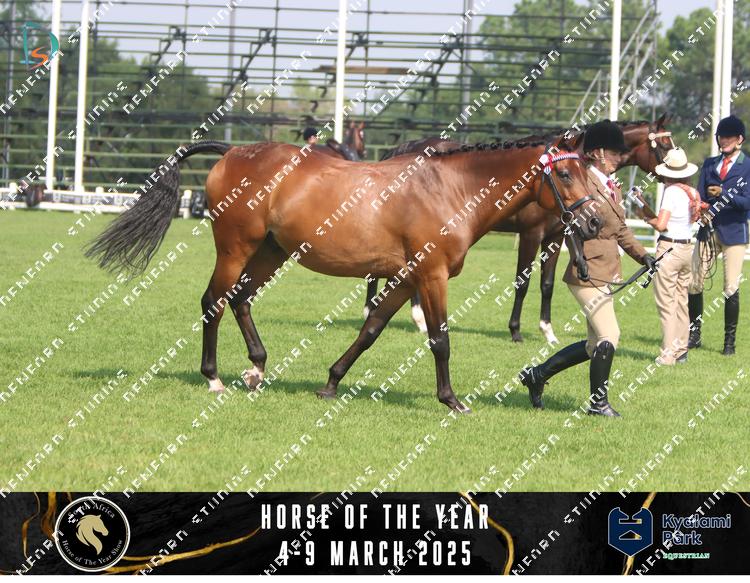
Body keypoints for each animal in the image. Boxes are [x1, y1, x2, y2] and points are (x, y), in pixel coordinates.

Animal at [85, 133, 601, 413]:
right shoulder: (430, 275)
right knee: (214, 301)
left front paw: (331, 383)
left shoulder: (405, 278)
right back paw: (213, 377)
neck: (447, 189)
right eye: (567, 175)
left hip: (271, 252)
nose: (594, 224)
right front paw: (451, 400)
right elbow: (440, 339)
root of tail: (234, 150)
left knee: (240, 299)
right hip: (236, 249)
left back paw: (257, 367)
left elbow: (370, 329)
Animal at [370, 115, 675, 341]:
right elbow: (523, 282)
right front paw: (515, 331)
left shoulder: (555, 236)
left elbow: (547, 284)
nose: (676, 177)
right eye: (665, 145)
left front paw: (548, 332)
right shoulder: (531, 234)